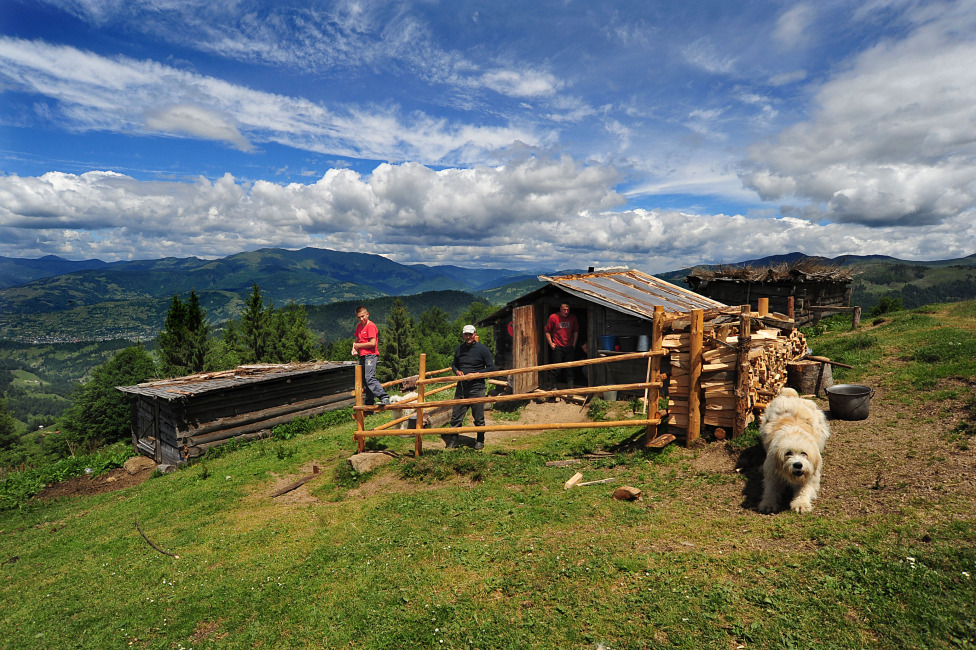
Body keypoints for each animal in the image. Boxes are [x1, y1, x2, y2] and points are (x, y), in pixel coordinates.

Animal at [756, 384, 832, 512]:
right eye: (788, 453)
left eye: (804, 453)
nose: (798, 465)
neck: (794, 433)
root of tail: (791, 396)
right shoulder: (773, 473)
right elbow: (771, 489)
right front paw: (768, 503)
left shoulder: (811, 475)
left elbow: (804, 490)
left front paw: (801, 504)